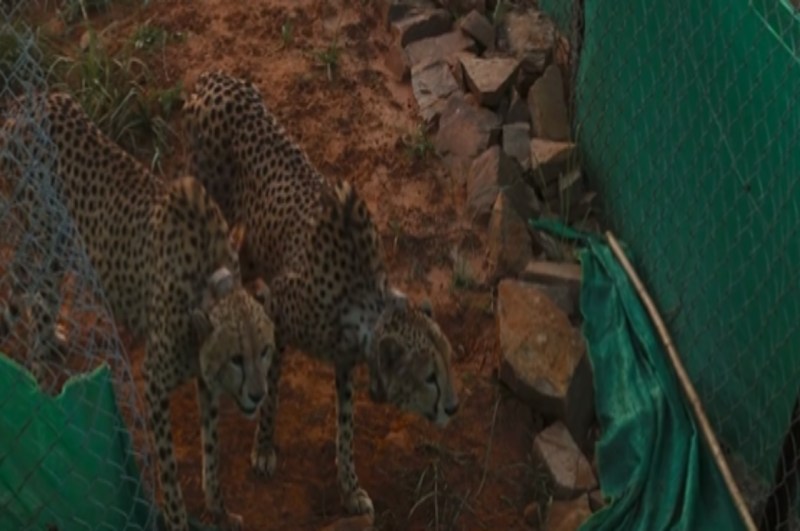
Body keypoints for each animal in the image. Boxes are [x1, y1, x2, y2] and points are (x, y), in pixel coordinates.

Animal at [0, 92, 276, 531]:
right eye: (237, 357)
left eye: (264, 350)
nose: (257, 394)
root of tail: (26, 101)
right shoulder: (155, 382)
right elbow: (168, 470)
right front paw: (180, 521)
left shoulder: (203, 376)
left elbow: (211, 449)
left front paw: (217, 508)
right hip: (42, 241)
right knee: (25, 291)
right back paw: (41, 388)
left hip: (60, 250)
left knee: (42, 297)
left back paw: (51, 346)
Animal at [182, 71, 460, 520]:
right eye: (429, 378)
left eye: (450, 365)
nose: (453, 408)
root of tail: (216, 77)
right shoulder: (279, 321)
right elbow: (270, 390)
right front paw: (264, 448)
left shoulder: (345, 359)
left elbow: (345, 427)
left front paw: (350, 488)